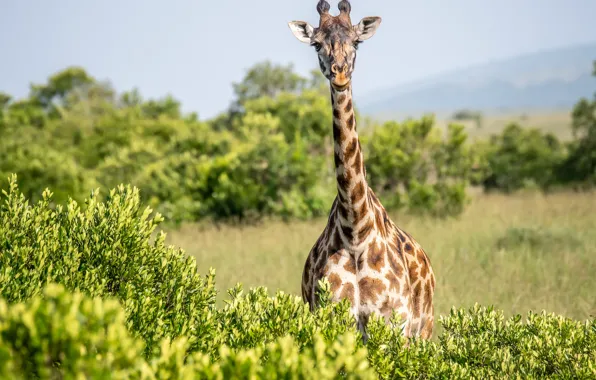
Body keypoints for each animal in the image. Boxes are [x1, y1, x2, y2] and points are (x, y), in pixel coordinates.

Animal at [290, 0, 438, 342]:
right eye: (317, 43)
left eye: (356, 41)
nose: (340, 74)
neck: (355, 229)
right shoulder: (333, 321)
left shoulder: (394, 325)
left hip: (423, 331)